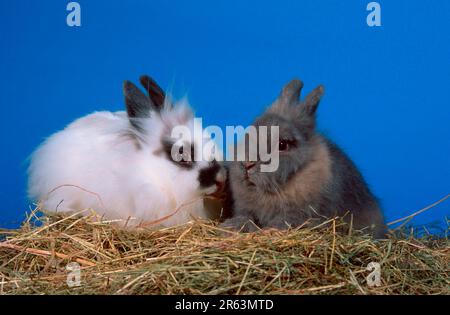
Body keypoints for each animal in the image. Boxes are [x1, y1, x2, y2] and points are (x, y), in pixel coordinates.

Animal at [221, 79, 386, 239]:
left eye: (282, 144)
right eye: (249, 132)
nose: (246, 164)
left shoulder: (302, 213)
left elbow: (283, 221)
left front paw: (268, 231)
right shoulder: (245, 208)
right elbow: (245, 217)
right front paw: (232, 226)